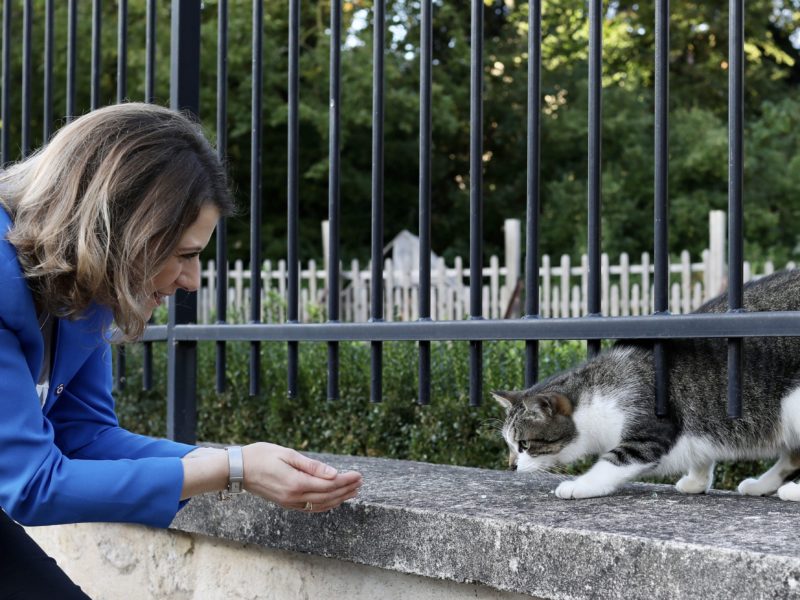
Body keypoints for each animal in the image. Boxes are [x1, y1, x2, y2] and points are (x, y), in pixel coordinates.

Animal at [494, 270, 800, 500]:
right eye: (508, 444)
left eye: (523, 444)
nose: (510, 466)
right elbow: (702, 451)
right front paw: (697, 480)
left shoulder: (652, 428)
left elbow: (614, 461)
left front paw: (579, 485)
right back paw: (761, 485)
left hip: (793, 404)